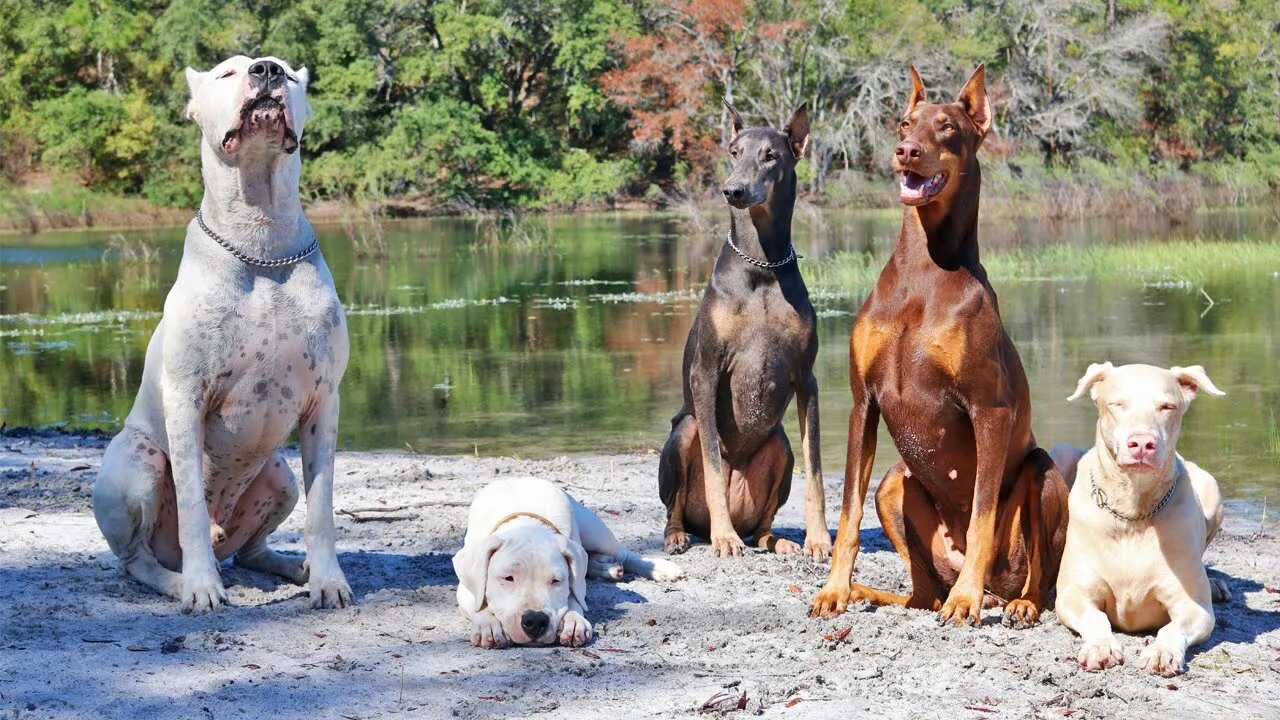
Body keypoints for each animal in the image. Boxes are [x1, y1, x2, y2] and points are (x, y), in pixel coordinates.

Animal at [93, 53, 355, 607]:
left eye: (290, 75)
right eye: (227, 74)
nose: (267, 70)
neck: (260, 243)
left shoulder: (324, 401)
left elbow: (322, 508)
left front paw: (328, 581)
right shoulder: (187, 397)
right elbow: (192, 501)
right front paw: (201, 588)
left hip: (278, 473)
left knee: (251, 550)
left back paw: (292, 568)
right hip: (139, 460)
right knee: (137, 561)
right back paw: (180, 580)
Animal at [455, 474, 686, 648]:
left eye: (556, 581)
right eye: (508, 578)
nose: (535, 621)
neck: (526, 522)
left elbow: (575, 597)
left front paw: (573, 621)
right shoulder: (467, 588)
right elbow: (478, 603)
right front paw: (488, 624)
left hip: (595, 531)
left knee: (623, 553)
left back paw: (660, 568)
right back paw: (605, 568)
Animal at [1049, 361, 1228, 676]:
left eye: (1167, 406)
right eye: (1117, 404)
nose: (1142, 443)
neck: (1132, 511)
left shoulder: (1196, 608)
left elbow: (1173, 627)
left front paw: (1161, 652)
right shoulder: (1072, 595)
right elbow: (1095, 617)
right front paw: (1100, 647)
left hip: (1212, 487)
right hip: (1060, 451)